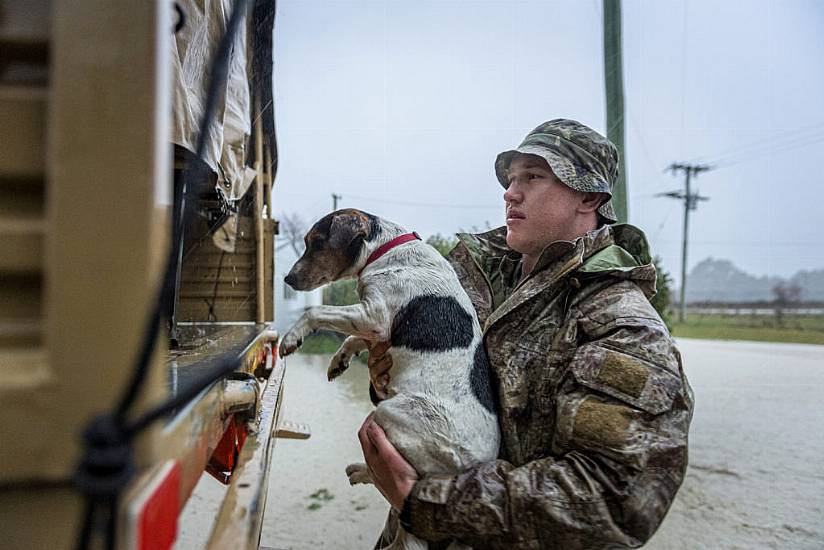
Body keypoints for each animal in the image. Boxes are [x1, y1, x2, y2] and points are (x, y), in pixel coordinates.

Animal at [280, 209, 498, 548]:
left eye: (316, 242)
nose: (287, 280)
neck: (386, 250)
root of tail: (472, 469)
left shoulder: (375, 315)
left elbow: (316, 312)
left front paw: (292, 337)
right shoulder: (374, 328)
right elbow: (353, 339)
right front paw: (339, 362)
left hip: (388, 415)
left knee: (391, 484)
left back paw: (362, 472)